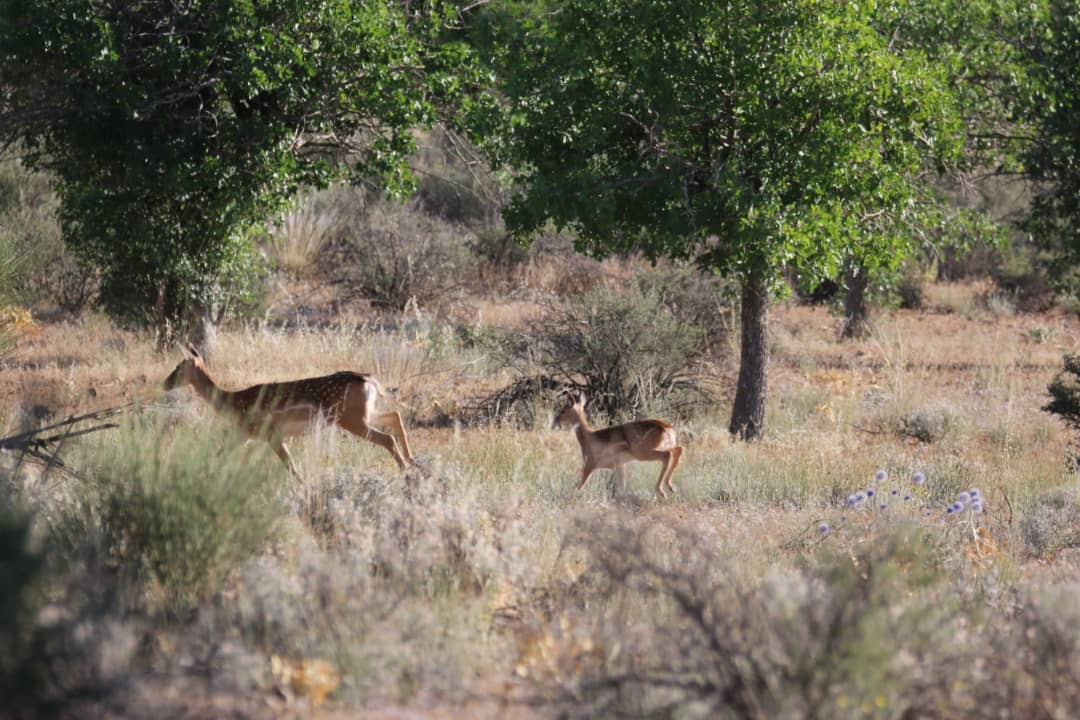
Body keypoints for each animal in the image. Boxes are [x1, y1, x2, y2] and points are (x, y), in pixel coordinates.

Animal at [163, 343, 412, 479]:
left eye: (178, 367)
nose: (164, 383)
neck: (233, 401)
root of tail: (367, 379)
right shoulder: (245, 434)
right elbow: (219, 454)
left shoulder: (272, 434)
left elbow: (291, 467)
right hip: (365, 414)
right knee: (395, 415)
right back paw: (411, 461)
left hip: (353, 420)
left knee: (388, 438)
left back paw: (405, 472)